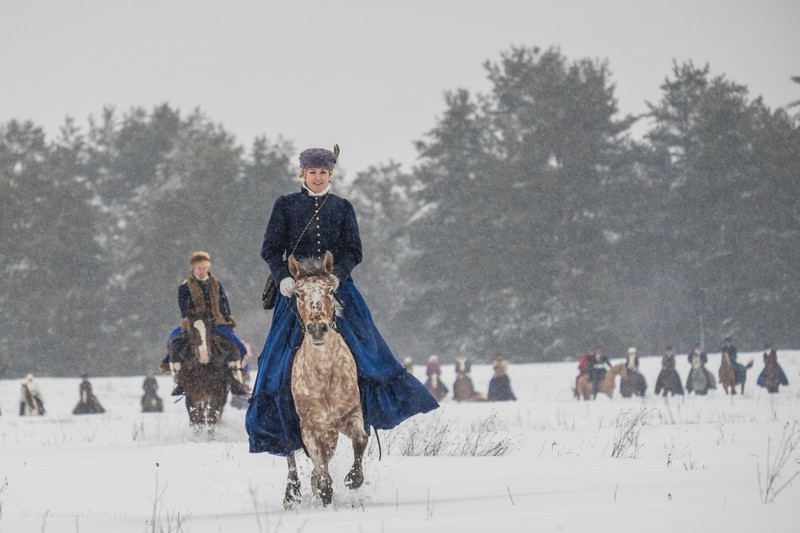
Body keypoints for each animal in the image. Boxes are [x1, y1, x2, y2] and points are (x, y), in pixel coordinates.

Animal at [282, 251, 368, 510]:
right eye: (297, 293)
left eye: (330, 291)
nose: (317, 328)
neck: (324, 374)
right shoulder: (309, 428)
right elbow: (322, 474)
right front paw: (325, 497)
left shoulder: (350, 414)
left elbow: (361, 439)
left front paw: (353, 479)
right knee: (291, 458)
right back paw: (291, 494)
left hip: (331, 432)